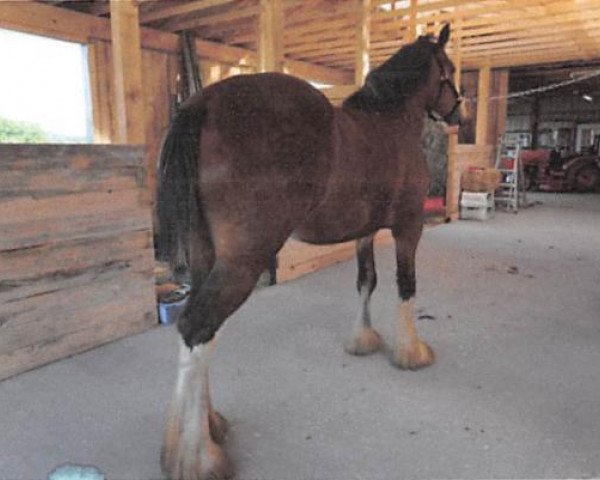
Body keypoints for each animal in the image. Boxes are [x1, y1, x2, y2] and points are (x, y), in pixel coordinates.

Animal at [157, 25, 462, 480]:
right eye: (450, 69)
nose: (460, 116)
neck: (389, 122)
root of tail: (204, 102)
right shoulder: (408, 228)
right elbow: (405, 287)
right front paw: (412, 352)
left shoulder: (364, 234)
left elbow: (366, 283)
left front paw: (363, 340)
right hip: (241, 263)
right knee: (198, 328)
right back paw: (199, 457)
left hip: (204, 258)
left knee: (199, 333)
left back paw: (204, 430)